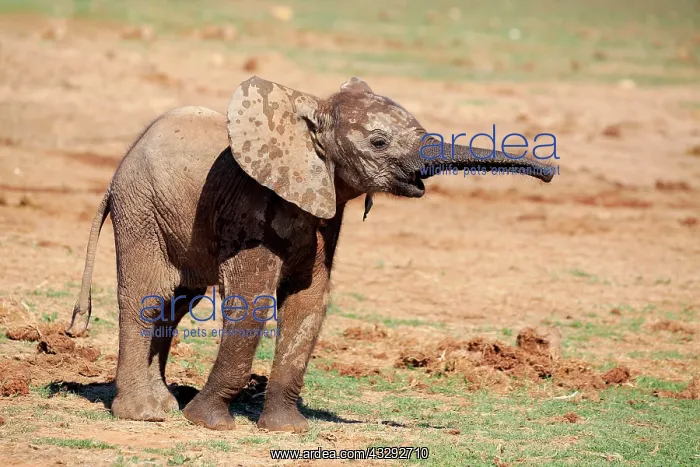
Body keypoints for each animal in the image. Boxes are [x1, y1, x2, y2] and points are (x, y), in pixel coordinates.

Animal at [66, 75, 554, 433]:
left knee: (177, 303)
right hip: (141, 209)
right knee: (146, 298)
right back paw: (145, 414)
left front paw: (287, 430)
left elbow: (309, 302)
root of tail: (120, 166)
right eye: (378, 142)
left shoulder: (324, 215)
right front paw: (209, 423)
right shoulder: (249, 206)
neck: (309, 115)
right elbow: (251, 302)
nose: (551, 172)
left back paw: (164, 403)